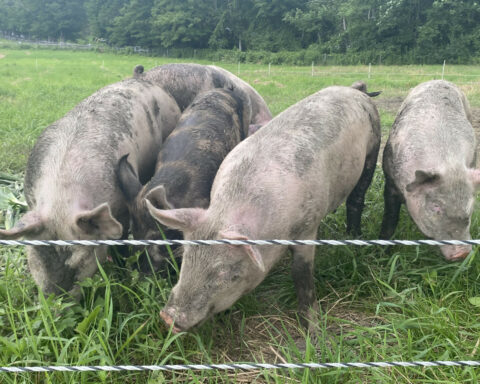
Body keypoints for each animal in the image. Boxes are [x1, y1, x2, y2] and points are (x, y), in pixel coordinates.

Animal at [0, 76, 180, 296]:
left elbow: (121, 235)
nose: (56, 303)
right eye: (36, 257)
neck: (61, 199)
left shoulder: (121, 209)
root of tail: (140, 77)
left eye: (81, 260)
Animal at [147, 84, 382, 332]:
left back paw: (354, 235)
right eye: (185, 258)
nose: (168, 317)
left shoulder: (308, 225)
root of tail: (355, 89)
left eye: (230, 273)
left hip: (373, 144)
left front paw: (312, 329)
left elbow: (301, 273)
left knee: (357, 196)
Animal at [380, 80, 478, 260]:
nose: (462, 253)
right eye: (436, 207)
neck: (447, 163)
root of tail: (440, 80)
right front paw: (384, 254)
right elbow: (390, 220)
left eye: (469, 208)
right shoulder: (390, 182)